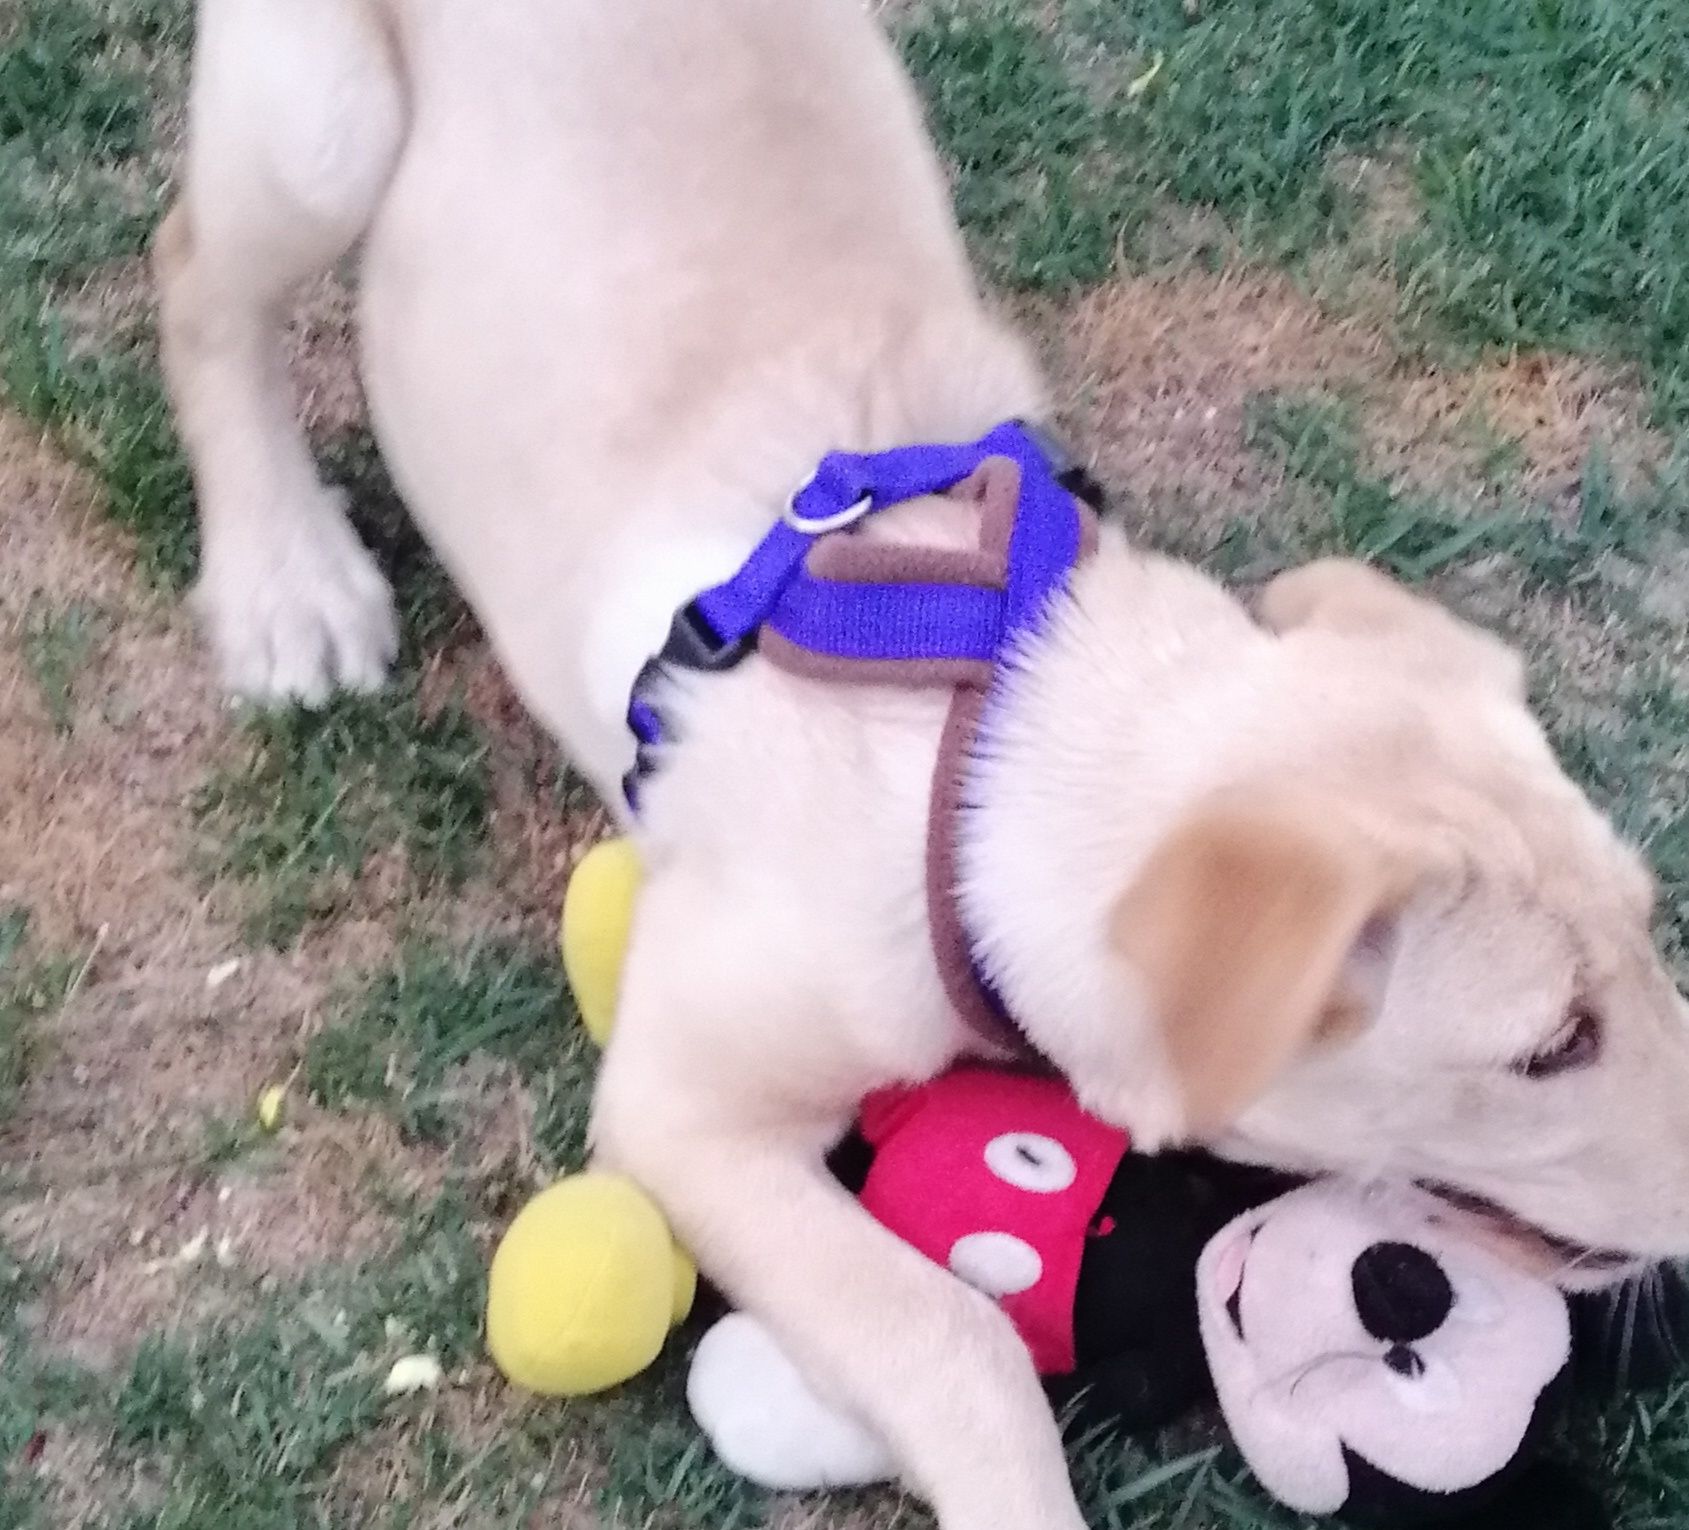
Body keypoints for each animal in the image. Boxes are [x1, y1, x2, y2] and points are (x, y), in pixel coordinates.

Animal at [164, 2, 1689, 1526]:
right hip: (319, 128)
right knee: (196, 282)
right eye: (1551, 1045)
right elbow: (950, 1333)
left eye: (1649, 932)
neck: (977, 750)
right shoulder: (680, 1110)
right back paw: (286, 575)